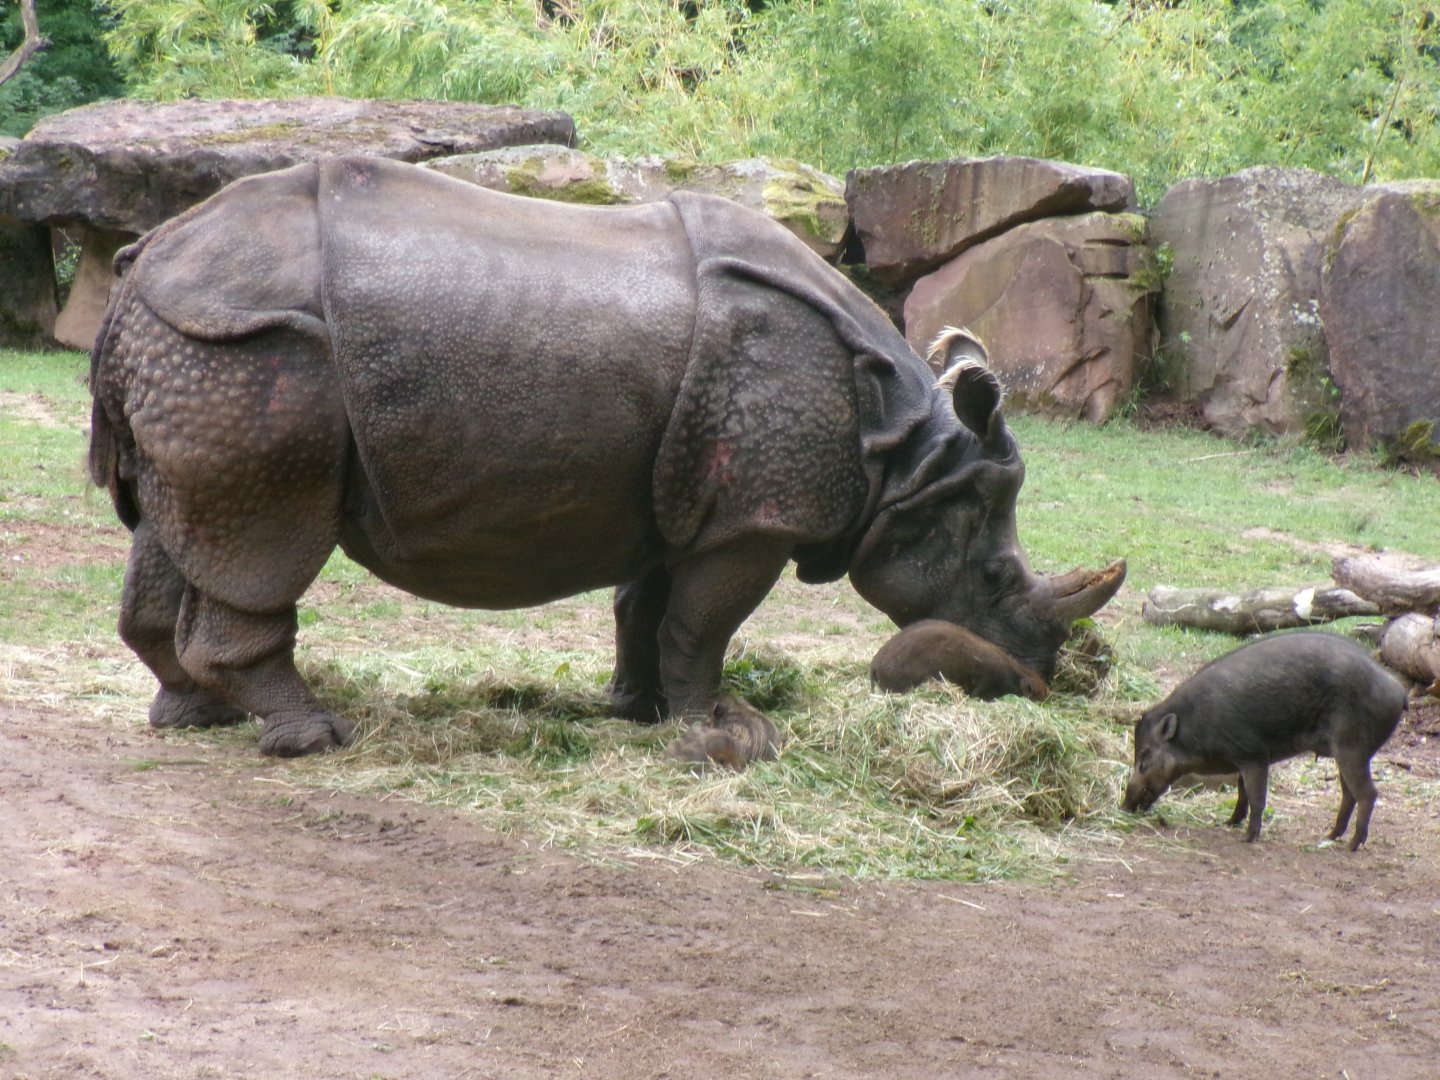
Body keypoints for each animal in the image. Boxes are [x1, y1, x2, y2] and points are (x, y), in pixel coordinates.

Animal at [1122, 632, 1407, 850]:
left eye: (1144, 758)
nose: (1124, 806)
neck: (1197, 726)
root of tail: (1400, 692)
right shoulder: (1242, 758)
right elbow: (1242, 792)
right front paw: (1228, 823)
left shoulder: (1253, 755)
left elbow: (1256, 796)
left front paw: (1247, 838)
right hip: (1345, 754)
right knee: (1349, 794)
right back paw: (1328, 836)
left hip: (1353, 748)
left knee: (1368, 794)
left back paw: (1352, 845)